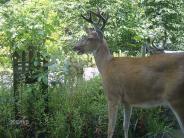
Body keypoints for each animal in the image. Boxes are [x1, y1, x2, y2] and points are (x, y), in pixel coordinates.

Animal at [73, 8, 184, 138]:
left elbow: (110, 129)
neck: (106, 65)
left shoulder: (112, 95)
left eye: (89, 38)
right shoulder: (128, 101)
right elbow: (125, 126)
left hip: (176, 98)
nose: (75, 47)